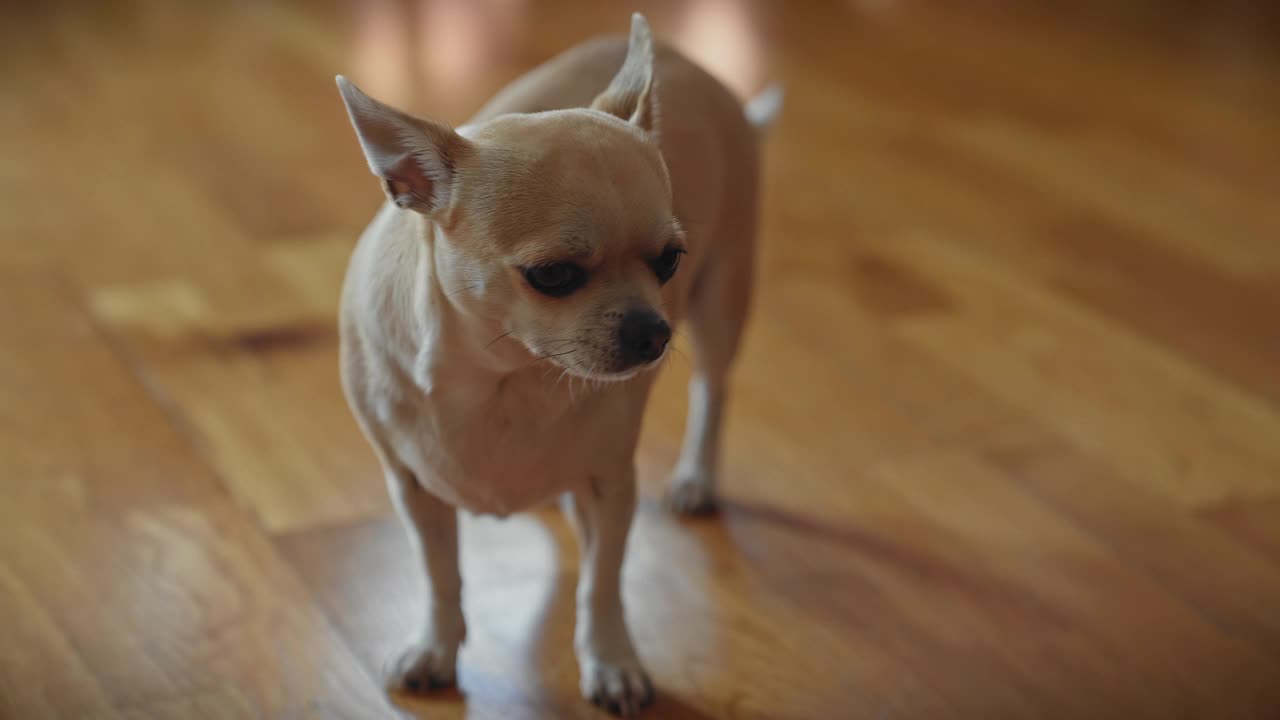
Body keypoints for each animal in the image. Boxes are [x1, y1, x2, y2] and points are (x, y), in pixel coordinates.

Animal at [335, 14, 778, 712]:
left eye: (669, 261)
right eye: (553, 276)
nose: (654, 331)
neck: (503, 378)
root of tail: (694, 66)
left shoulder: (611, 486)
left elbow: (601, 583)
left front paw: (612, 662)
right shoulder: (413, 488)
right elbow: (438, 574)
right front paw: (434, 649)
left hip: (722, 298)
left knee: (713, 389)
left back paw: (696, 478)